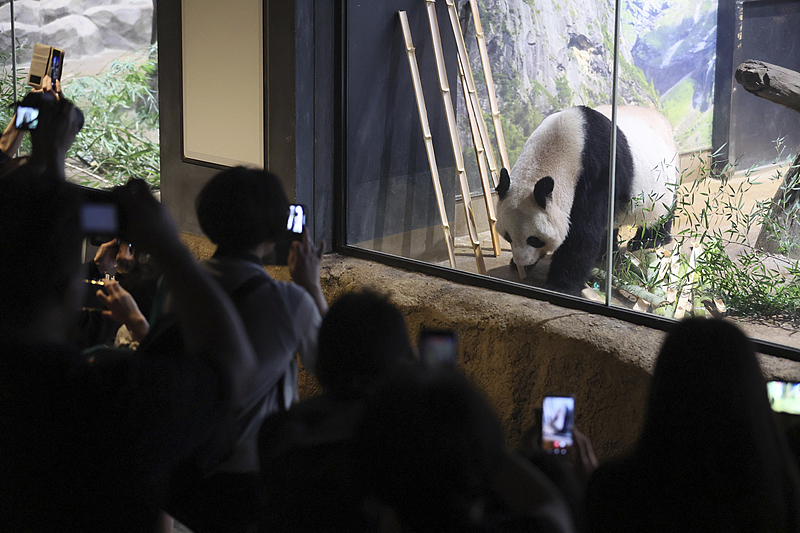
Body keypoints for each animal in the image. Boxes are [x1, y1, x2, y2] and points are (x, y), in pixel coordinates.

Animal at [496, 104, 680, 296]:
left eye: (534, 239)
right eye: (507, 236)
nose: (522, 262)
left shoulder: (598, 173)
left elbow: (582, 235)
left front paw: (560, 286)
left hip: (664, 182)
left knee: (660, 215)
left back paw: (646, 241)